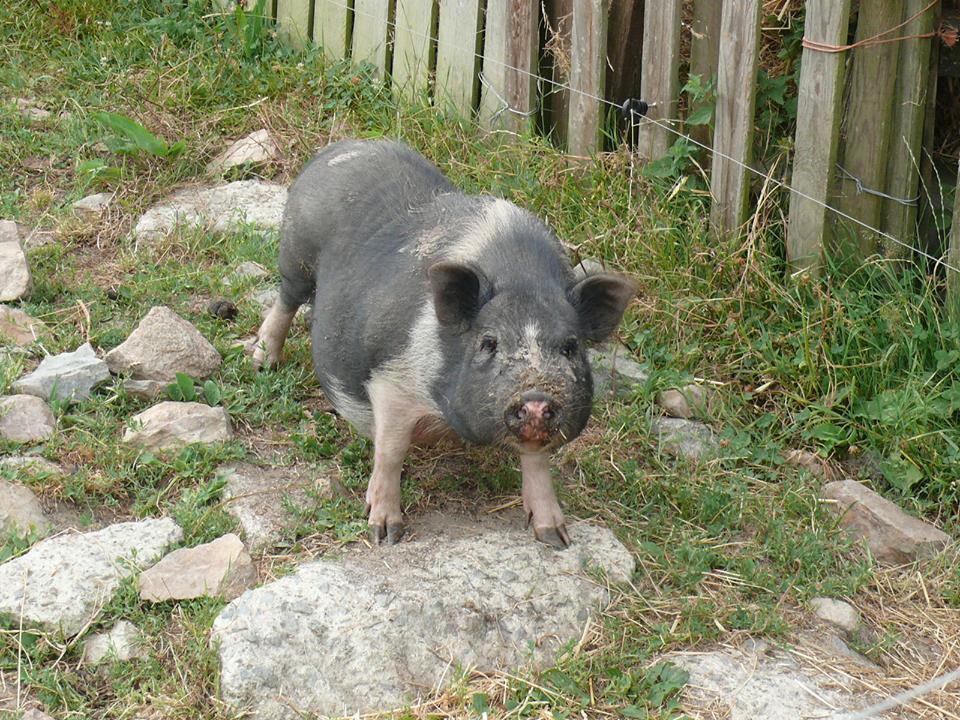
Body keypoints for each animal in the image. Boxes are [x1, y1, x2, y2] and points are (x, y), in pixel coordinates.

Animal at [251, 138, 632, 548]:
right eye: (488, 342)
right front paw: (385, 533)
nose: (535, 401)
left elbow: (537, 465)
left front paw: (556, 538)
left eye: (570, 347)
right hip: (296, 256)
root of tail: (341, 148)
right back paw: (261, 362)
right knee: (286, 299)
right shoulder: (390, 379)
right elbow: (390, 452)